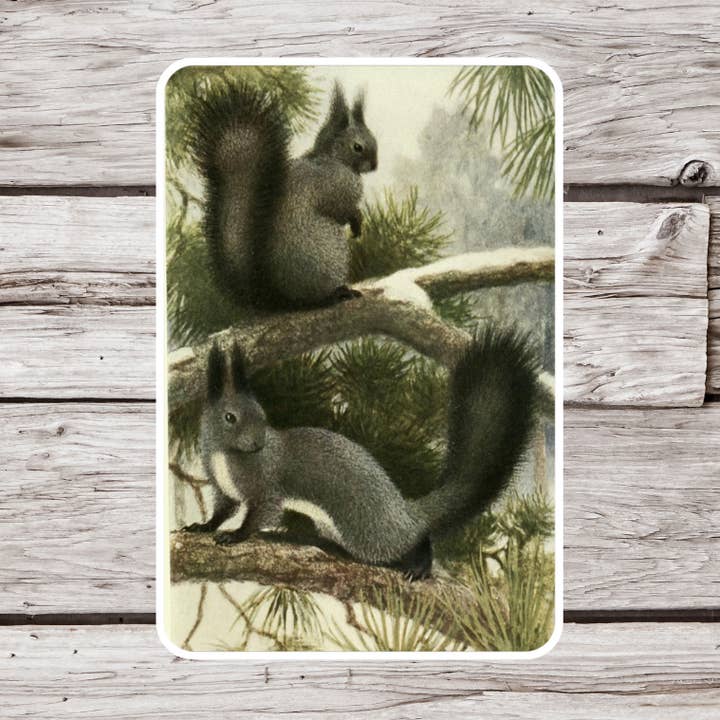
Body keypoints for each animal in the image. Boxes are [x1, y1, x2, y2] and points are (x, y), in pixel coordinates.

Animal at [182, 328, 539, 579]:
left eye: (262, 414)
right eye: (230, 417)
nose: (258, 443)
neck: (225, 455)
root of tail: (403, 509)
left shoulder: (266, 485)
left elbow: (261, 514)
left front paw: (236, 536)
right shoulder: (223, 487)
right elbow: (223, 510)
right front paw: (203, 527)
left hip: (368, 530)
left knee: (410, 540)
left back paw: (420, 566)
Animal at [190, 80, 378, 310]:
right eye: (357, 147)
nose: (374, 165)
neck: (332, 159)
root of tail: (276, 299)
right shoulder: (333, 188)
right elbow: (340, 210)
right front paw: (357, 221)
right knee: (314, 300)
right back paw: (336, 294)